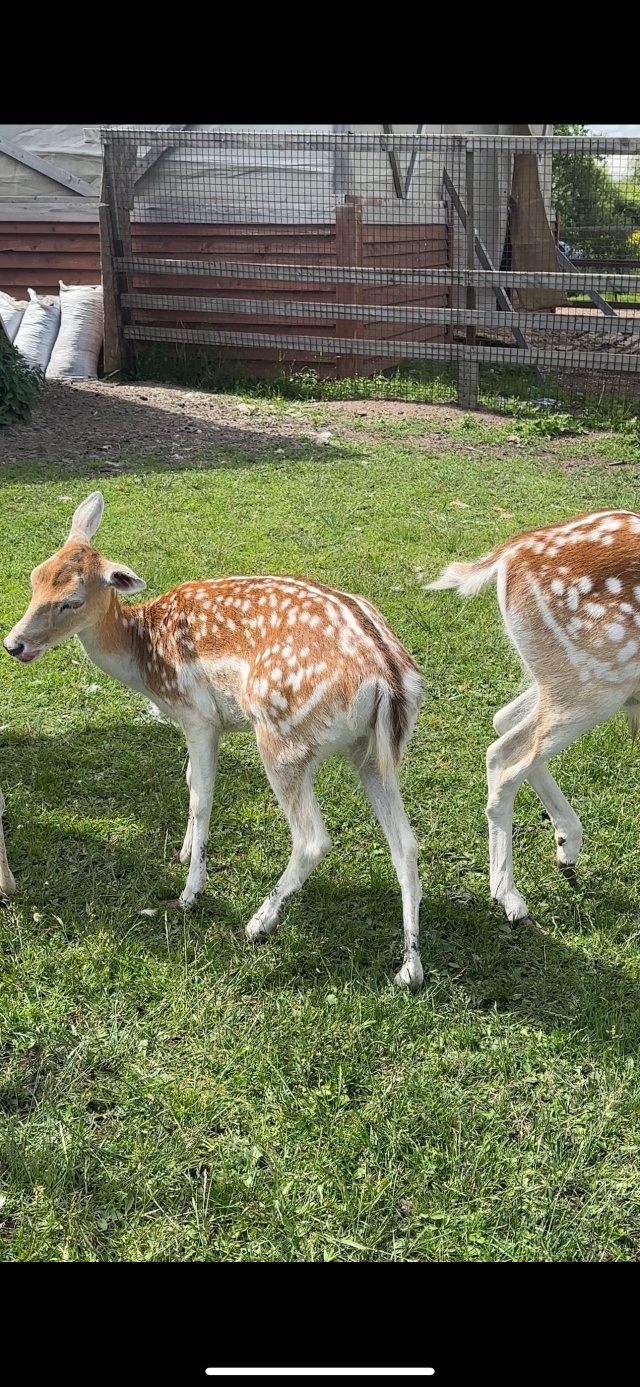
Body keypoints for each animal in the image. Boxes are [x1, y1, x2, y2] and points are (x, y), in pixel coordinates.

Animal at [4, 488, 427, 987]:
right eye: (35, 577)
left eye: (71, 600)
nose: (13, 644)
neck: (143, 658)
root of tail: (387, 678)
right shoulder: (208, 725)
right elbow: (190, 781)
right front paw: (185, 853)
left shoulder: (197, 714)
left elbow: (201, 796)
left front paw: (191, 891)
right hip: (373, 751)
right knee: (406, 843)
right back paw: (410, 968)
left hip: (283, 738)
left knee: (313, 839)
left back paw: (258, 922)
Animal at [430, 507, 640, 920]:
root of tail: (511, 553)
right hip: (594, 687)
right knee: (505, 755)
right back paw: (509, 896)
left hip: (566, 679)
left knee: (505, 721)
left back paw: (566, 851)